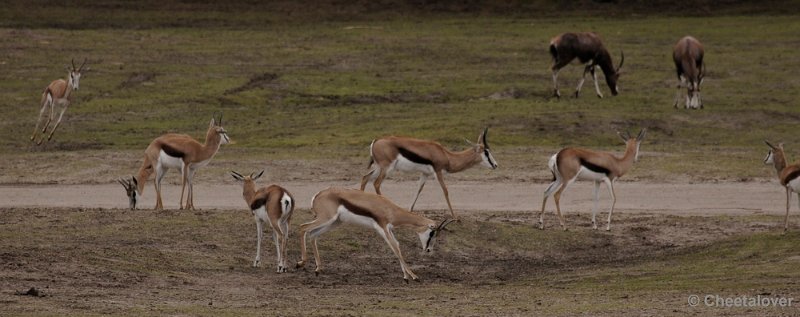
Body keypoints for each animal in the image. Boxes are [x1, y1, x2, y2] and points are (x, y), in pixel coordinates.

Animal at [296, 186, 456, 280]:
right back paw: (300, 263)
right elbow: (395, 248)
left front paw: (405, 276)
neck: (390, 209)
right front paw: (413, 276)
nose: (428, 250)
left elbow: (397, 246)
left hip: (335, 222)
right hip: (327, 218)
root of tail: (318, 194)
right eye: (432, 233)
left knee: (313, 234)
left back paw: (318, 269)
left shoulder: (388, 230)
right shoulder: (383, 228)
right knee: (303, 227)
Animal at [360, 127, 496, 218]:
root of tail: (376, 140)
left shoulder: (425, 174)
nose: (495, 165)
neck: (446, 155)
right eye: (486, 152)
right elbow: (445, 191)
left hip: (379, 167)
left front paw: (410, 211)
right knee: (376, 183)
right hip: (387, 168)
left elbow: (419, 189)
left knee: (365, 177)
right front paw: (454, 217)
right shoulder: (438, 171)